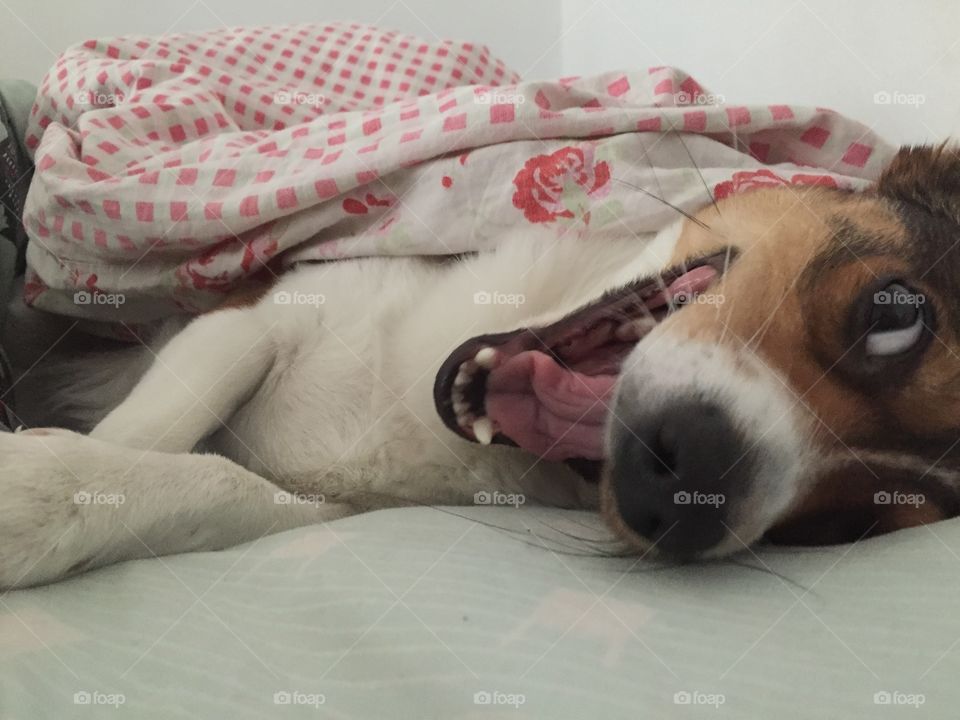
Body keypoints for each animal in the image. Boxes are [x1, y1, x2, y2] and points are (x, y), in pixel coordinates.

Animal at [0, 143, 956, 588]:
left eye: (845, 526)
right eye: (892, 315)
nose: (691, 486)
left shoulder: (325, 507)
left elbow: (212, 485)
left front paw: (45, 491)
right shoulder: (245, 323)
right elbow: (152, 428)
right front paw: (45, 477)